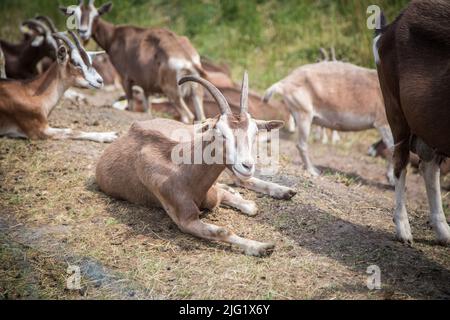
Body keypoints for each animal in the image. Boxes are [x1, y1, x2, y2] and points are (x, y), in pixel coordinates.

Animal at [59, 0, 206, 123]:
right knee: (201, 117)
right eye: (75, 14)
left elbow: (130, 106)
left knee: (188, 116)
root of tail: (188, 57)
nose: (83, 32)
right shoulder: (146, 87)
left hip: (172, 90)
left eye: (96, 15)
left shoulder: (125, 79)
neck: (115, 36)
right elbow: (147, 110)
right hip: (196, 91)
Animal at [96, 73, 298, 258]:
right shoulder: (186, 220)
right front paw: (260, 247)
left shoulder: (212, 195)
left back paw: (284, 191)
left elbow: (243, 205)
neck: (181, 171)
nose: (247, 165)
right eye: (221, 133)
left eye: (255, 132)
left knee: (238, 181)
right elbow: (223, 229)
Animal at [264, 60, 394, 185]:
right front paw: (391, 179)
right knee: (301, 144)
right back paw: (312, 170)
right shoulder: (383, 124)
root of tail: (285, 81)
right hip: (304, 115)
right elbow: (393, 149)